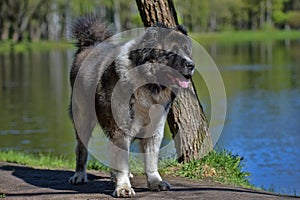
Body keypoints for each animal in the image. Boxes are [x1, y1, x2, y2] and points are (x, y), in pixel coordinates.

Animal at [68, 14, 195, 198]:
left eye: (187, 51)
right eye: (172, 51)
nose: (191, 65)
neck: (147, 82)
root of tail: (90, 45)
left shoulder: (154, 129)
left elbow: (150, 160)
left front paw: (155, 182)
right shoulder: (120, 129)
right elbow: (121, 161)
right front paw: (123, 187)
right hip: (83, 119)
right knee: (81, 149)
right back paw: (79, 175)